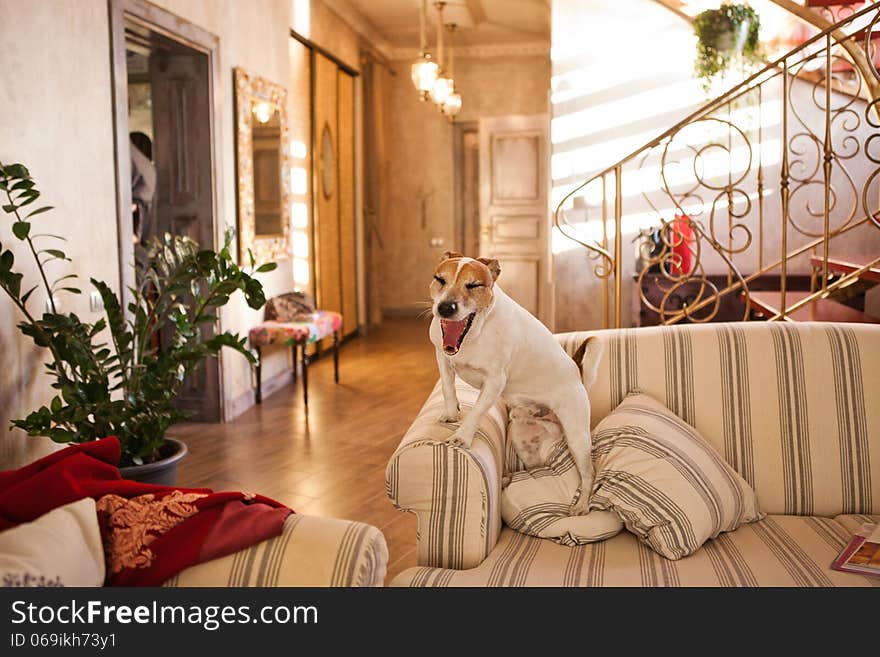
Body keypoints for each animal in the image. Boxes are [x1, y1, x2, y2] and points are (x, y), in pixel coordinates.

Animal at [428, 251, 604, 512]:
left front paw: (462, 436)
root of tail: (577, 371)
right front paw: (451, 414)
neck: (475, 333)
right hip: (524, 441)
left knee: (588, 473)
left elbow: (476, 412)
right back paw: (508, 479)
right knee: (538, 468)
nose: (445, 308)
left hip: (577, 437)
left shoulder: (494, 381)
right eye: (440, 279)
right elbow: (447, 387)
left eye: (473, 285)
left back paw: (581, 505)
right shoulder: (442, 357)